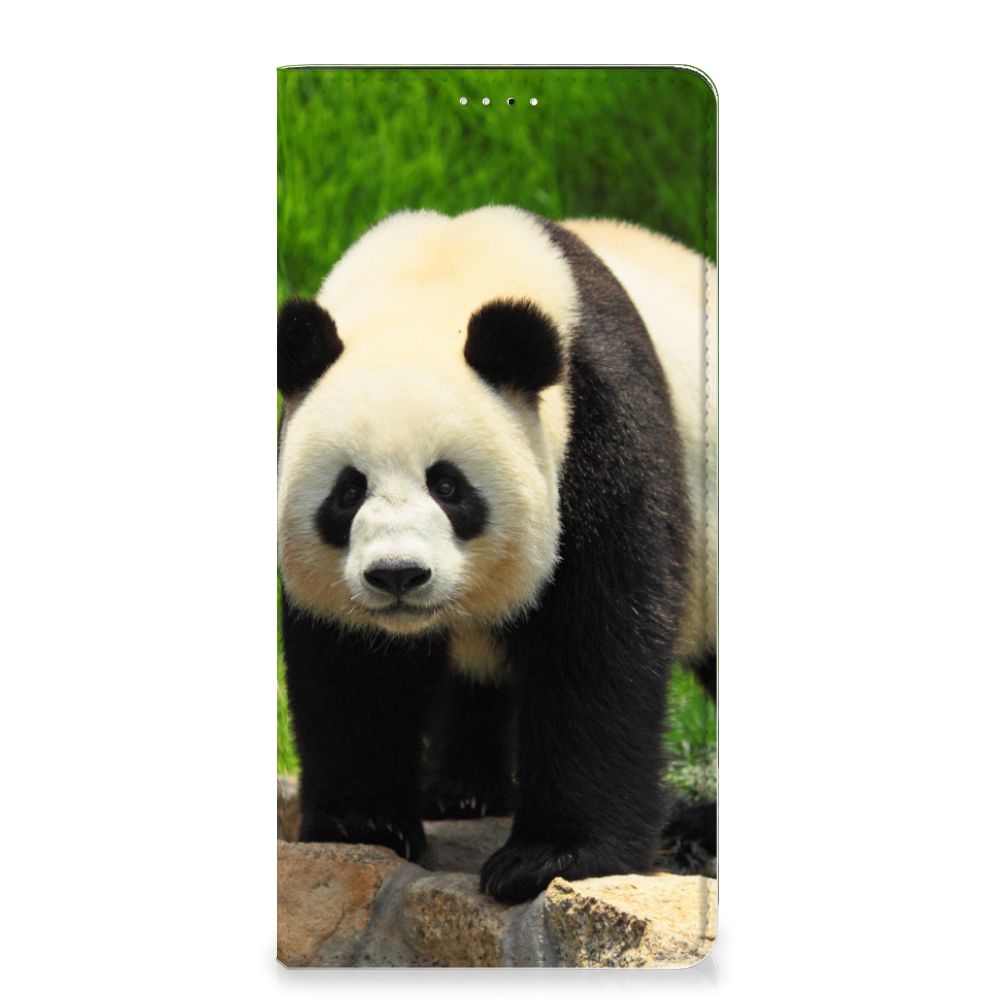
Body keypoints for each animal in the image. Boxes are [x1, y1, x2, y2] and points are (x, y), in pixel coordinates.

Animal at [277, 205, 717, 904]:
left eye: (448, 486)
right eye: (348, 491)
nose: (398, 576)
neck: (435, 280)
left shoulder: (601, 425)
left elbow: (597, 639)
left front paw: (551, 858)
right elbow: (352, 664)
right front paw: (362, 823)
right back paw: (461, 791)